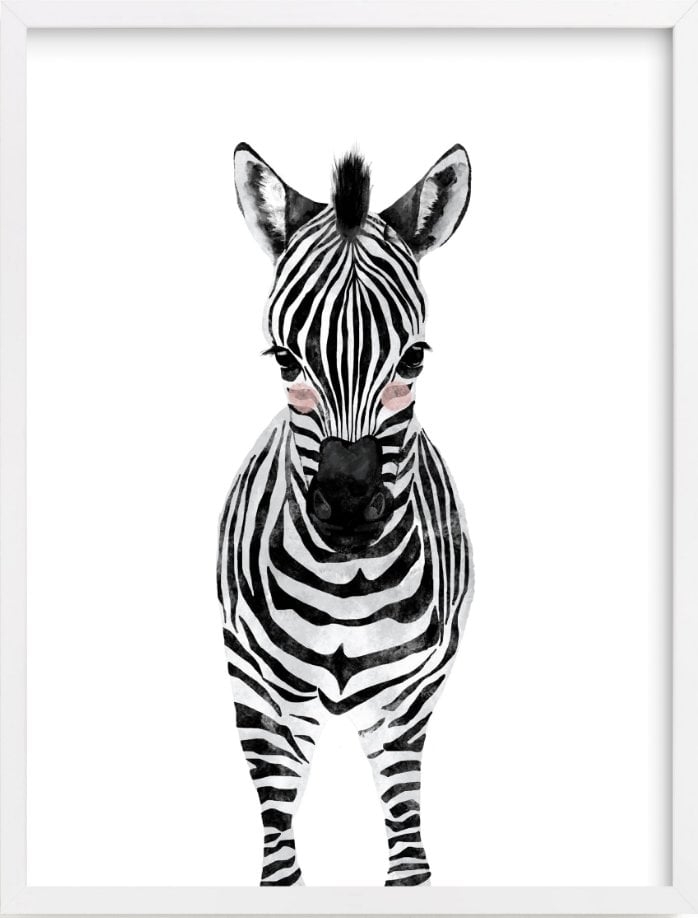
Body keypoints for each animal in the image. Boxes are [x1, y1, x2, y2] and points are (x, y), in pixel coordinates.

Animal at [218, 142, 473, 887]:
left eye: (413, 358)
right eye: (284, 360)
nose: (352, 512)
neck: (346, 590)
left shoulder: (408, 703)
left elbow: (409, 858)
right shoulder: (257, 697)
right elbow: (279, 865)